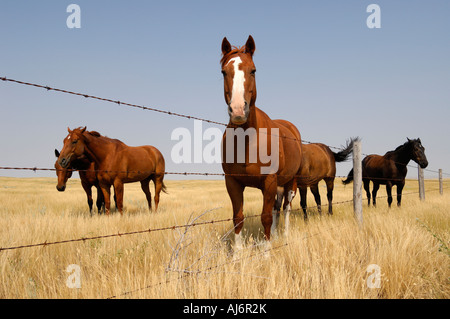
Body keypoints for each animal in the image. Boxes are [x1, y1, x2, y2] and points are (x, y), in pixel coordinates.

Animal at [221, 35, 302, 250]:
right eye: (224, 72)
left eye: (253, 70)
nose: (238, 110)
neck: (248, 142)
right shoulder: (232, 182)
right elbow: (238, 218)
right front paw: (238, 254)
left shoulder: (269, 181)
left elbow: (265, 217)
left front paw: (266, 252)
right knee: (276, 208)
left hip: (290, 183)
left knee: (286, 208)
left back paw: (285, 236)